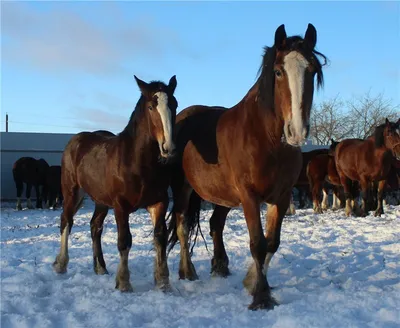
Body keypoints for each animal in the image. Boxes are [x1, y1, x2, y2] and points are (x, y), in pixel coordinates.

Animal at [53, 75, 178, 292]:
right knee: (66, 221)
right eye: (151, 107)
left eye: (175, 104)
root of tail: (75, 141)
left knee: (95, 226)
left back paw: (100, 268)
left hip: (100, 200)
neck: (137, 162)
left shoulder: (159, 203)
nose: (168, 148)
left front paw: (163, 282)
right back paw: (61, 264)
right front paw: (124, 282)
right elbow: (124, 241)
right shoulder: (121, 207)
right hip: (72, 192)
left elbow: (160, 237)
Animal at [167, 23, 326, 310]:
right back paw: (187, 272)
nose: (296, 132)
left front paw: (252, 282)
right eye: (278, 72)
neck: (266, 138)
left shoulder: (281, 197)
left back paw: (220, 266)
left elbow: (272, 243)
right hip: (183, 189)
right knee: (182, 225)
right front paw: (261, 297)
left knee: (215, 224)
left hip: (223, 195)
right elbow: (258, 244)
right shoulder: (250, 197)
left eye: (312, 70)